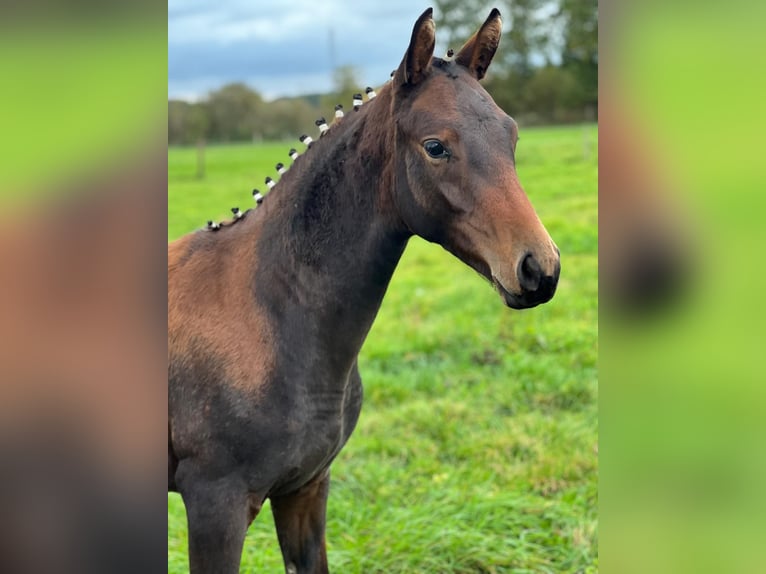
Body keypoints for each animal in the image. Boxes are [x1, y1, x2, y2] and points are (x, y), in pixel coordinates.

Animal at [168, 8, 560, 573]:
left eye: (512, 136)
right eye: (435, 146)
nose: (539, 269)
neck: (270, 314)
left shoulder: (307, 489)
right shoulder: (214, 506)